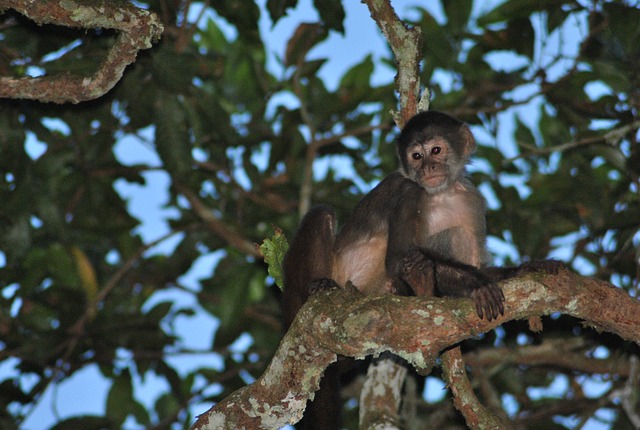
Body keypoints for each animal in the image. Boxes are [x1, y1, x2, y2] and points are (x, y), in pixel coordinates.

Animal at [282, 110, 564, 426]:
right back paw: (323, 287)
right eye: (416, 156)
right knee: (322, 215)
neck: (440, 194)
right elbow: (397, 258)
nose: (428, 167)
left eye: (436, 151)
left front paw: (527, 268)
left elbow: (471, 262)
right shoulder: (408, 190)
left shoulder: (471, 199)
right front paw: (478, 283)